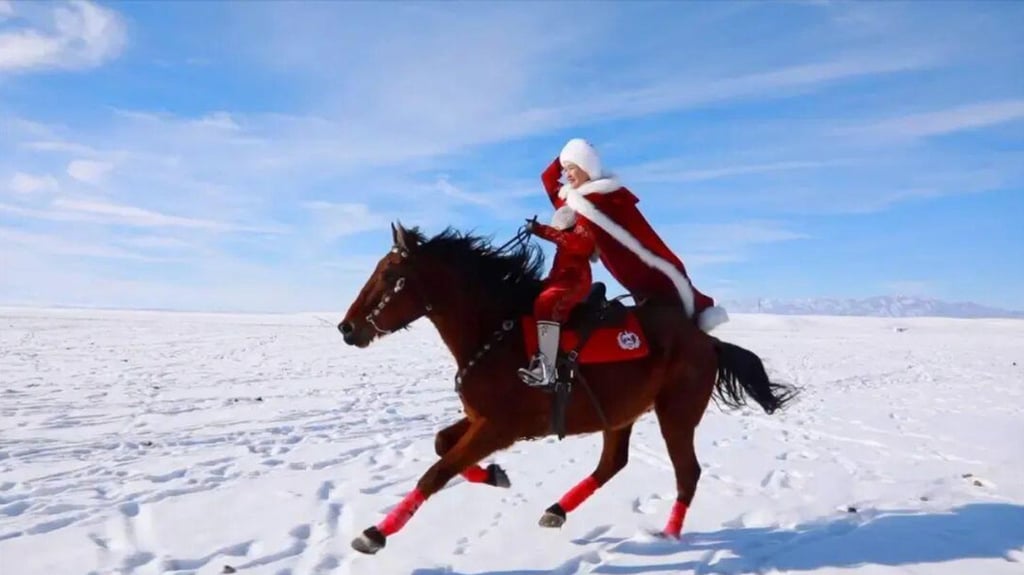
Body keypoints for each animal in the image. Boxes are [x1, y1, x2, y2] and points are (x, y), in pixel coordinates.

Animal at [336, 222, 798, 555]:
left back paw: (667, 536)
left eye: (390, 274)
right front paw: (496, 475)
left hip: (676, 414)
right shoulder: (480, 418)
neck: (496, 333)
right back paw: (556, 511)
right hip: (620, 413)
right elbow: (440, 446)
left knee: (687, 473)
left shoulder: (500, 427)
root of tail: (707, 340)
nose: (347, 328)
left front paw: (374, 533)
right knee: (613, 464)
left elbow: (437, 471)